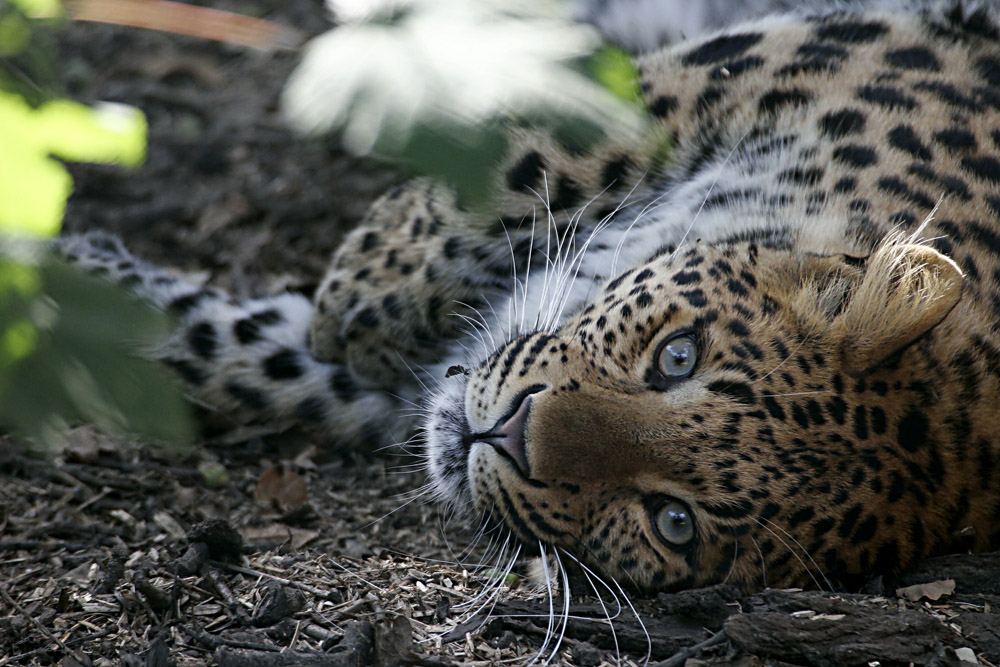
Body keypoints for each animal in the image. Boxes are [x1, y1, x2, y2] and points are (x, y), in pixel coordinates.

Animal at [52, 0, 1000, 596]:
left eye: (673, 521)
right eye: (677, 355)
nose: (504, 433)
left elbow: (248, 358)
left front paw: (66, 282)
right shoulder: (798, 58)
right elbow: (554, 150)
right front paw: (364, 289)